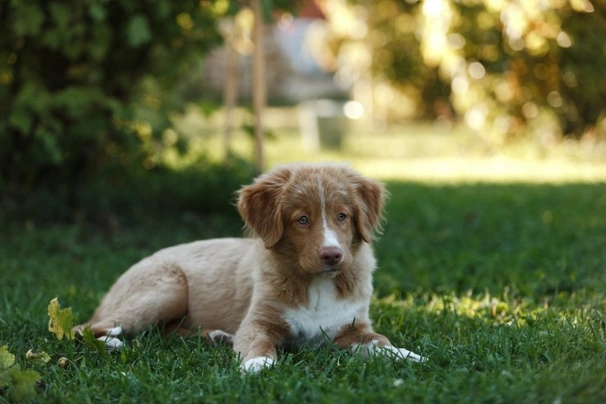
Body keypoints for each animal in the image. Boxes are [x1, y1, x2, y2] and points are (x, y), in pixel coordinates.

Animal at [75, 163, 428, 370]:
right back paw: (112, 342)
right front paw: (257, 364)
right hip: (165, 290)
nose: (332, 255)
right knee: (87, 327)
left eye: (342, 216)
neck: (317, 284)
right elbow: (258, 343)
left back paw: (214, 336)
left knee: (164, 331)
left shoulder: (353, 327)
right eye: (301, 220)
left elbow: (379, 341)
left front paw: (409, 355)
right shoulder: (258, 321)